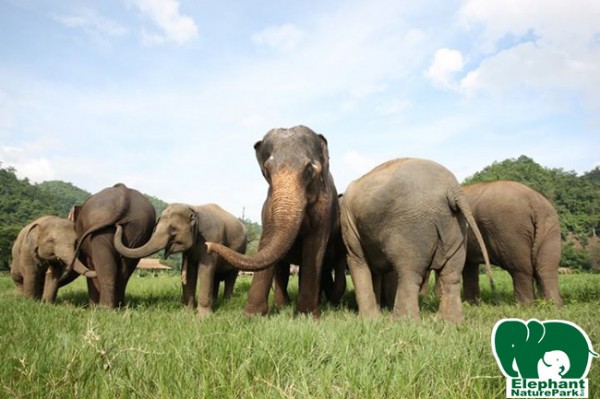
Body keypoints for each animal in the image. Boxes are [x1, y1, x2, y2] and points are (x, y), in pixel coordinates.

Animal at [112, 205, 246, 318]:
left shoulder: (211, 240)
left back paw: (227, 302)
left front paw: (203, 317)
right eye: (155, 228)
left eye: (172, 230)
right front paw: (187, 313)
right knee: (216, 277)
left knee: (231, 277)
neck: (193, 208)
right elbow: (190, 273)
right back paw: (216, 302)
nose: (118, 224)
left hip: (241, 251)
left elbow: (205, 270)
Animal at [206, 126, 340, 318]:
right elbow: (268, 241)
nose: (207, 245)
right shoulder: (268, 204)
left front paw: (307, 317)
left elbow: (314, 247)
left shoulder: (325, 205)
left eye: (309, 169)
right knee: (281, 268)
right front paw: (252, 316)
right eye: (267, 171)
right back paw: (282, 306)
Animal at [340, 158, 490, 324]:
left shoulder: (349, 224)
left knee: (409, 273)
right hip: (457, 228)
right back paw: (450, 322)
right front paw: (375, 317)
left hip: (412, 228)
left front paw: (369, 320)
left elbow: (356, 259)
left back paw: (402, 322)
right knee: (451, 274)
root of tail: (452, 190)